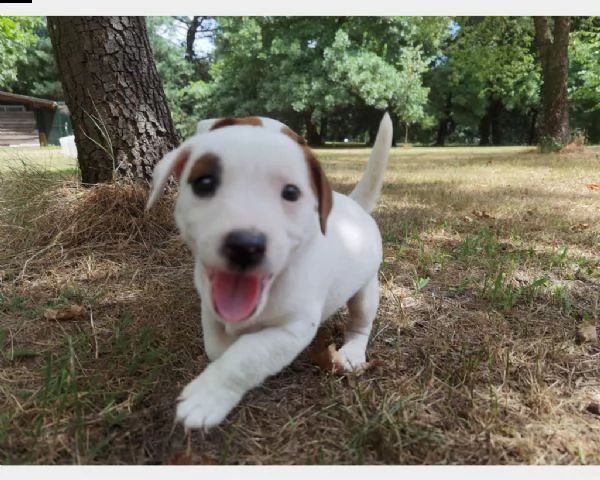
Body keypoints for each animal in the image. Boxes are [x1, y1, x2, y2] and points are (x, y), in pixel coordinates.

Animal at [146, 113, 394, 432]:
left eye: (291, 192)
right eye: (204, 182)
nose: (245, 245)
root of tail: (354, 205)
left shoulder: (291, 329)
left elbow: (245, 357)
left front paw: (208, 395)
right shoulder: (210, 308)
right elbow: (217, 347)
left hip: (365, 291)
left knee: (361, 323)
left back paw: (352, 351)